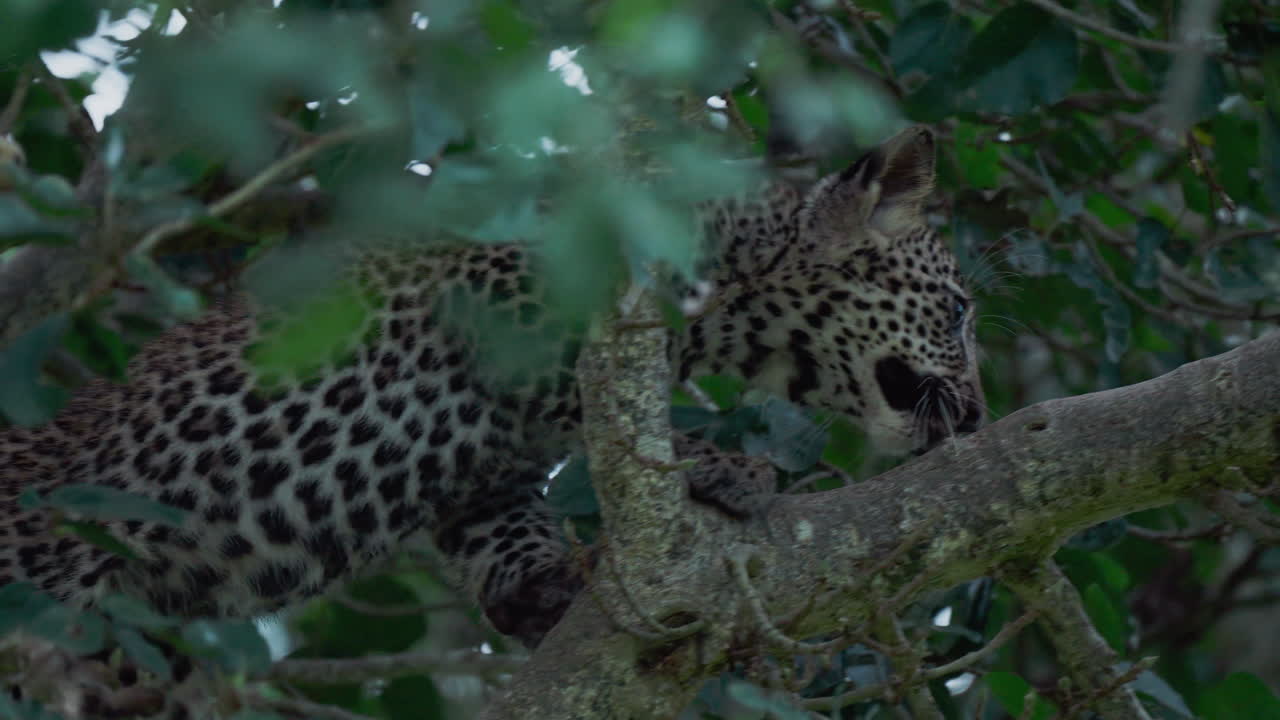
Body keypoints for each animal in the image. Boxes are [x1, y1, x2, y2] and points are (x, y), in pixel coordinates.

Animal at [0, 124, 982, 652]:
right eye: (962, 310)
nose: (976, 414)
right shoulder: (505, 305)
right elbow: (613, 416)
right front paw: (726, 465)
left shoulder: (487, 467)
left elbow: (501, 519)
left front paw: (540, 589)